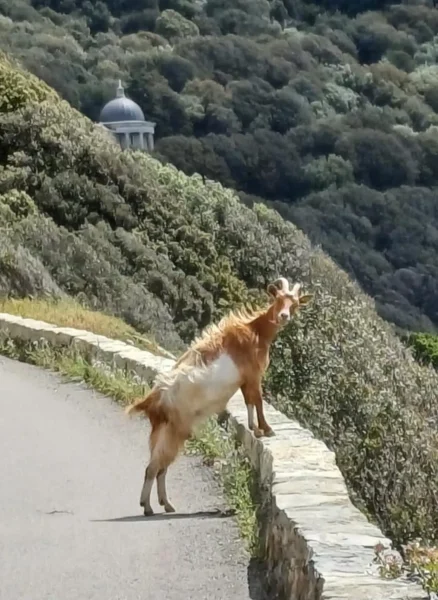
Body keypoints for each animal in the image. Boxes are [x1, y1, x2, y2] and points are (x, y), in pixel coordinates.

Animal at [125, 278, 314, 516]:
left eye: (295, 304)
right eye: (278, 298)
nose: (284, 316)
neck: (255, 331)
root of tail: (153, 400)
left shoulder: (245, 381)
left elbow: (249, 401)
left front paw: (254, 428)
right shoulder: (253, 375)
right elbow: (258, 400)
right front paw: (267, 429)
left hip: (161, 431)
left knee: (159, 468)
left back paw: (164, 504)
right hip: (175, 429)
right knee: (155, 467)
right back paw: (150, 507)